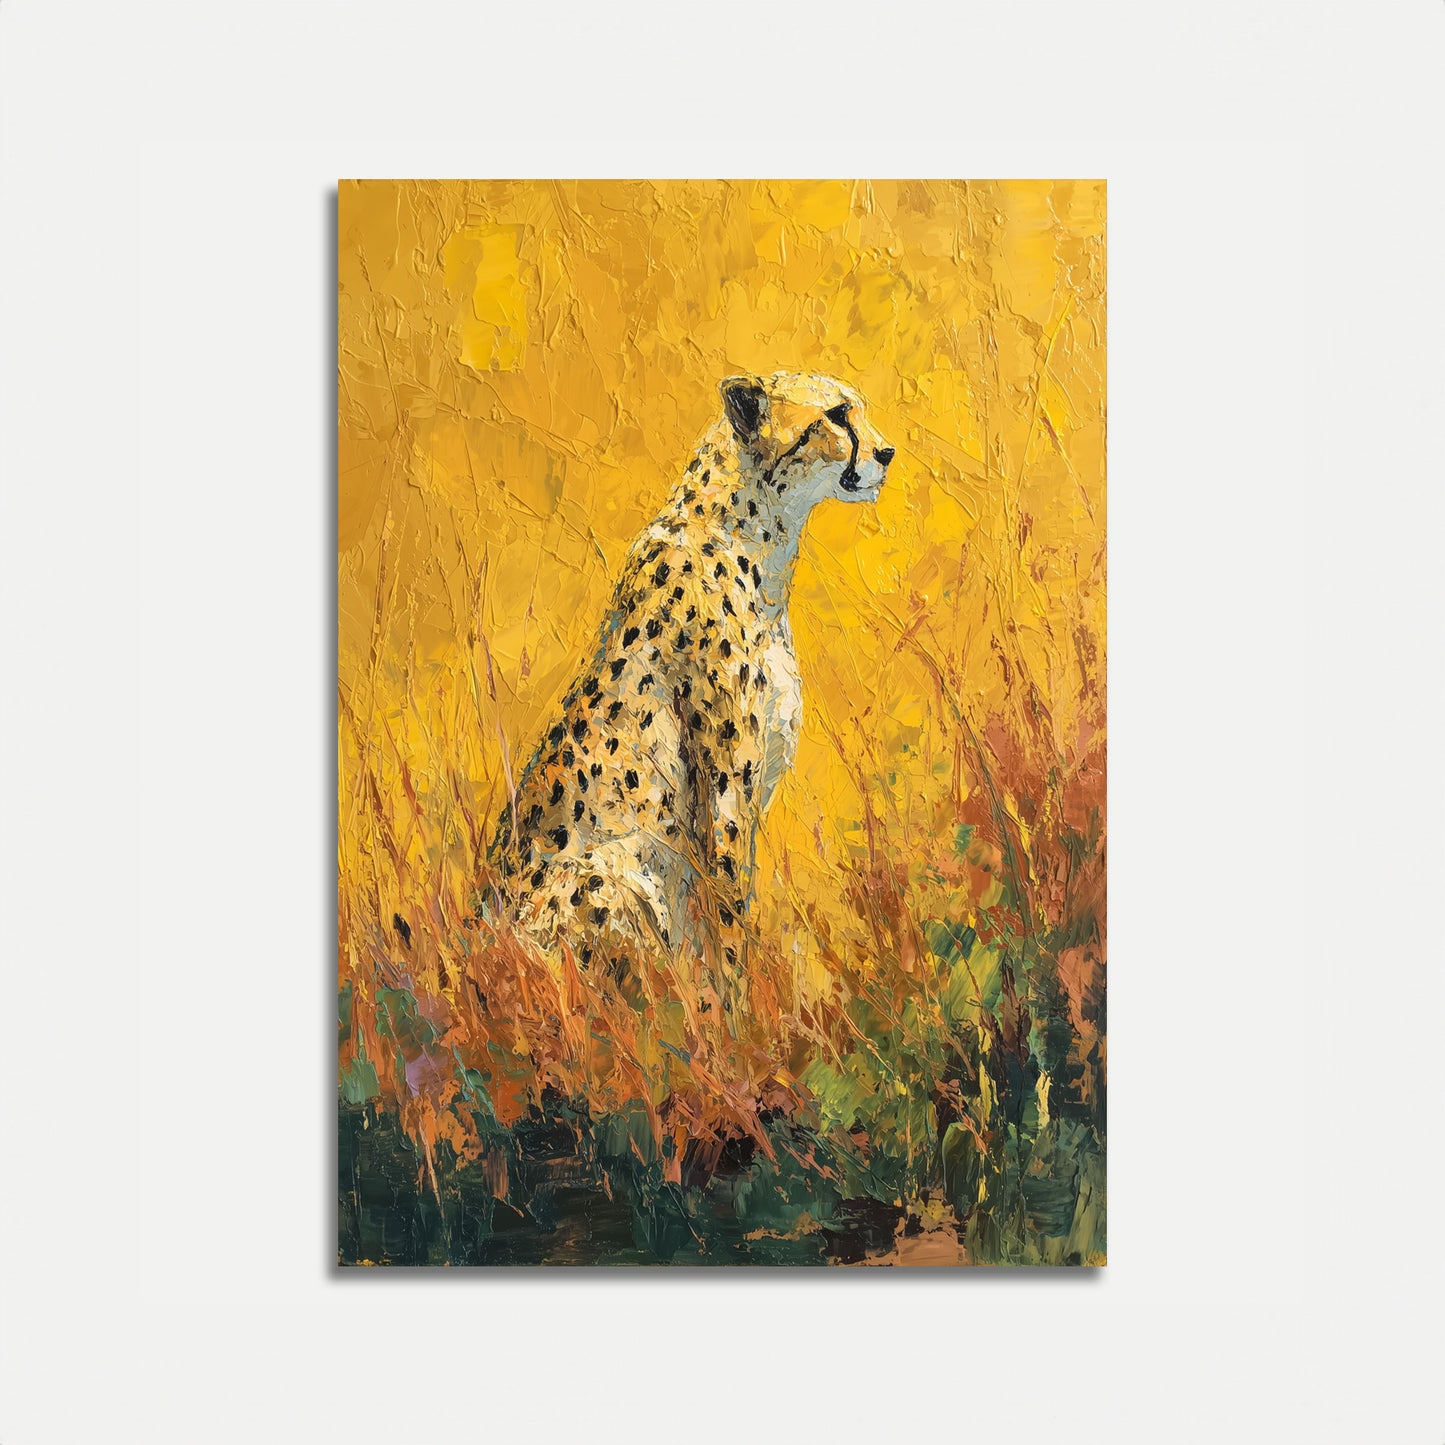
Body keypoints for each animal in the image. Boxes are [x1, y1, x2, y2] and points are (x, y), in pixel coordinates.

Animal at [486, 371, 895, 1020]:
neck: (746, 534)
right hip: (613, 873)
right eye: (835, 416)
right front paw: (742, 1026)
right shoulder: (725, 793)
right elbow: (728, 919)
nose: (887, 454)